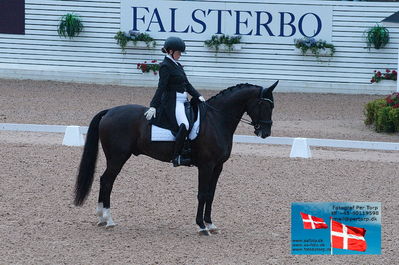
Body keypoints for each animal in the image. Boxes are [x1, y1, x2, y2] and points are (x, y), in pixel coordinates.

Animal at [73, 81, 278, 235]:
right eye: (264, 105)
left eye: (272, 106)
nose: (265, 132)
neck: (216, 120)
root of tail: (109, 111)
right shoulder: (206, 165)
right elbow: (202, 194)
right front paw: (201, 227)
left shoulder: (218, 166)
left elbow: (211, 194)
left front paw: (210, 224)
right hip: (117, 157)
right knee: (107, 181)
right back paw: (108, 219)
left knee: (104, 181)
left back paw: (102, 218)